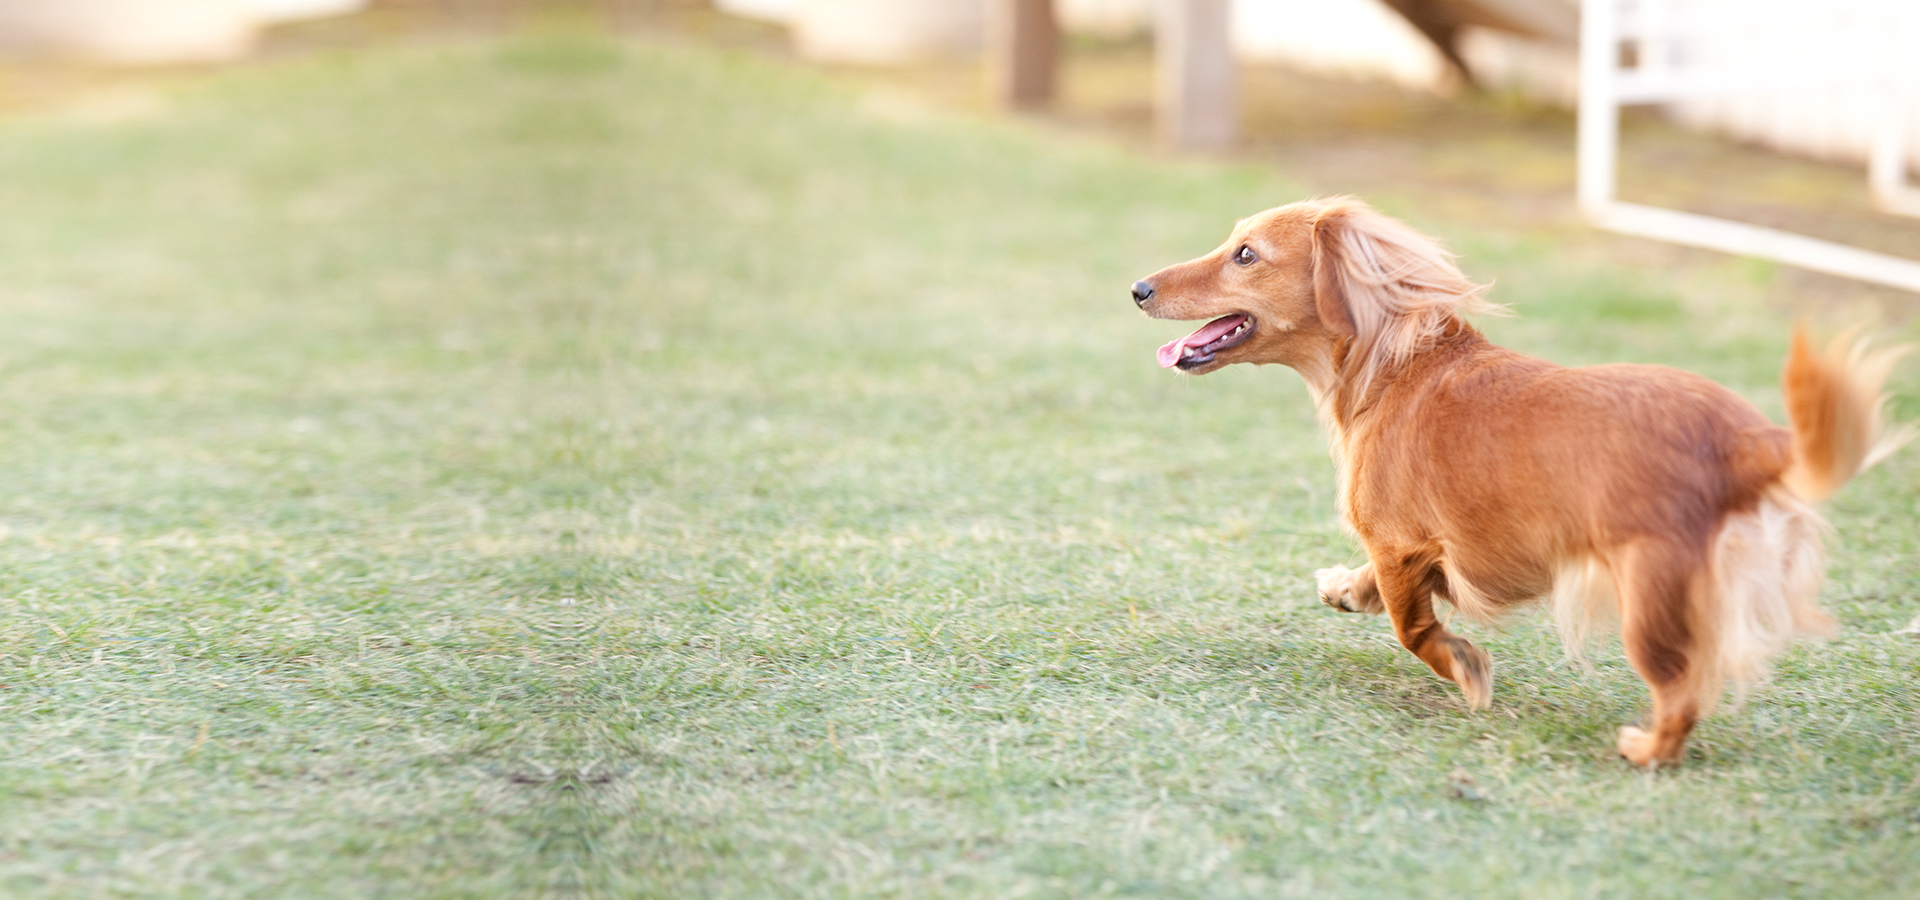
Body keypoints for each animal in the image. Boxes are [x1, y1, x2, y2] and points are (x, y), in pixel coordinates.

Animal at [1121, 196, 1904, 763]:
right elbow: (1379, 591)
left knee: (1680, 694)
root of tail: (1747, 437)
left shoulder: (1402, 544)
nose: (1137, 287)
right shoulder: (1405, 552)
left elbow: (1413, 628)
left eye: (1246, 254)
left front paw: (1464, 666)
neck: (1394, 367)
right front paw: (1346, 588)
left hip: (1648, 597)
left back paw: (1647, 749)